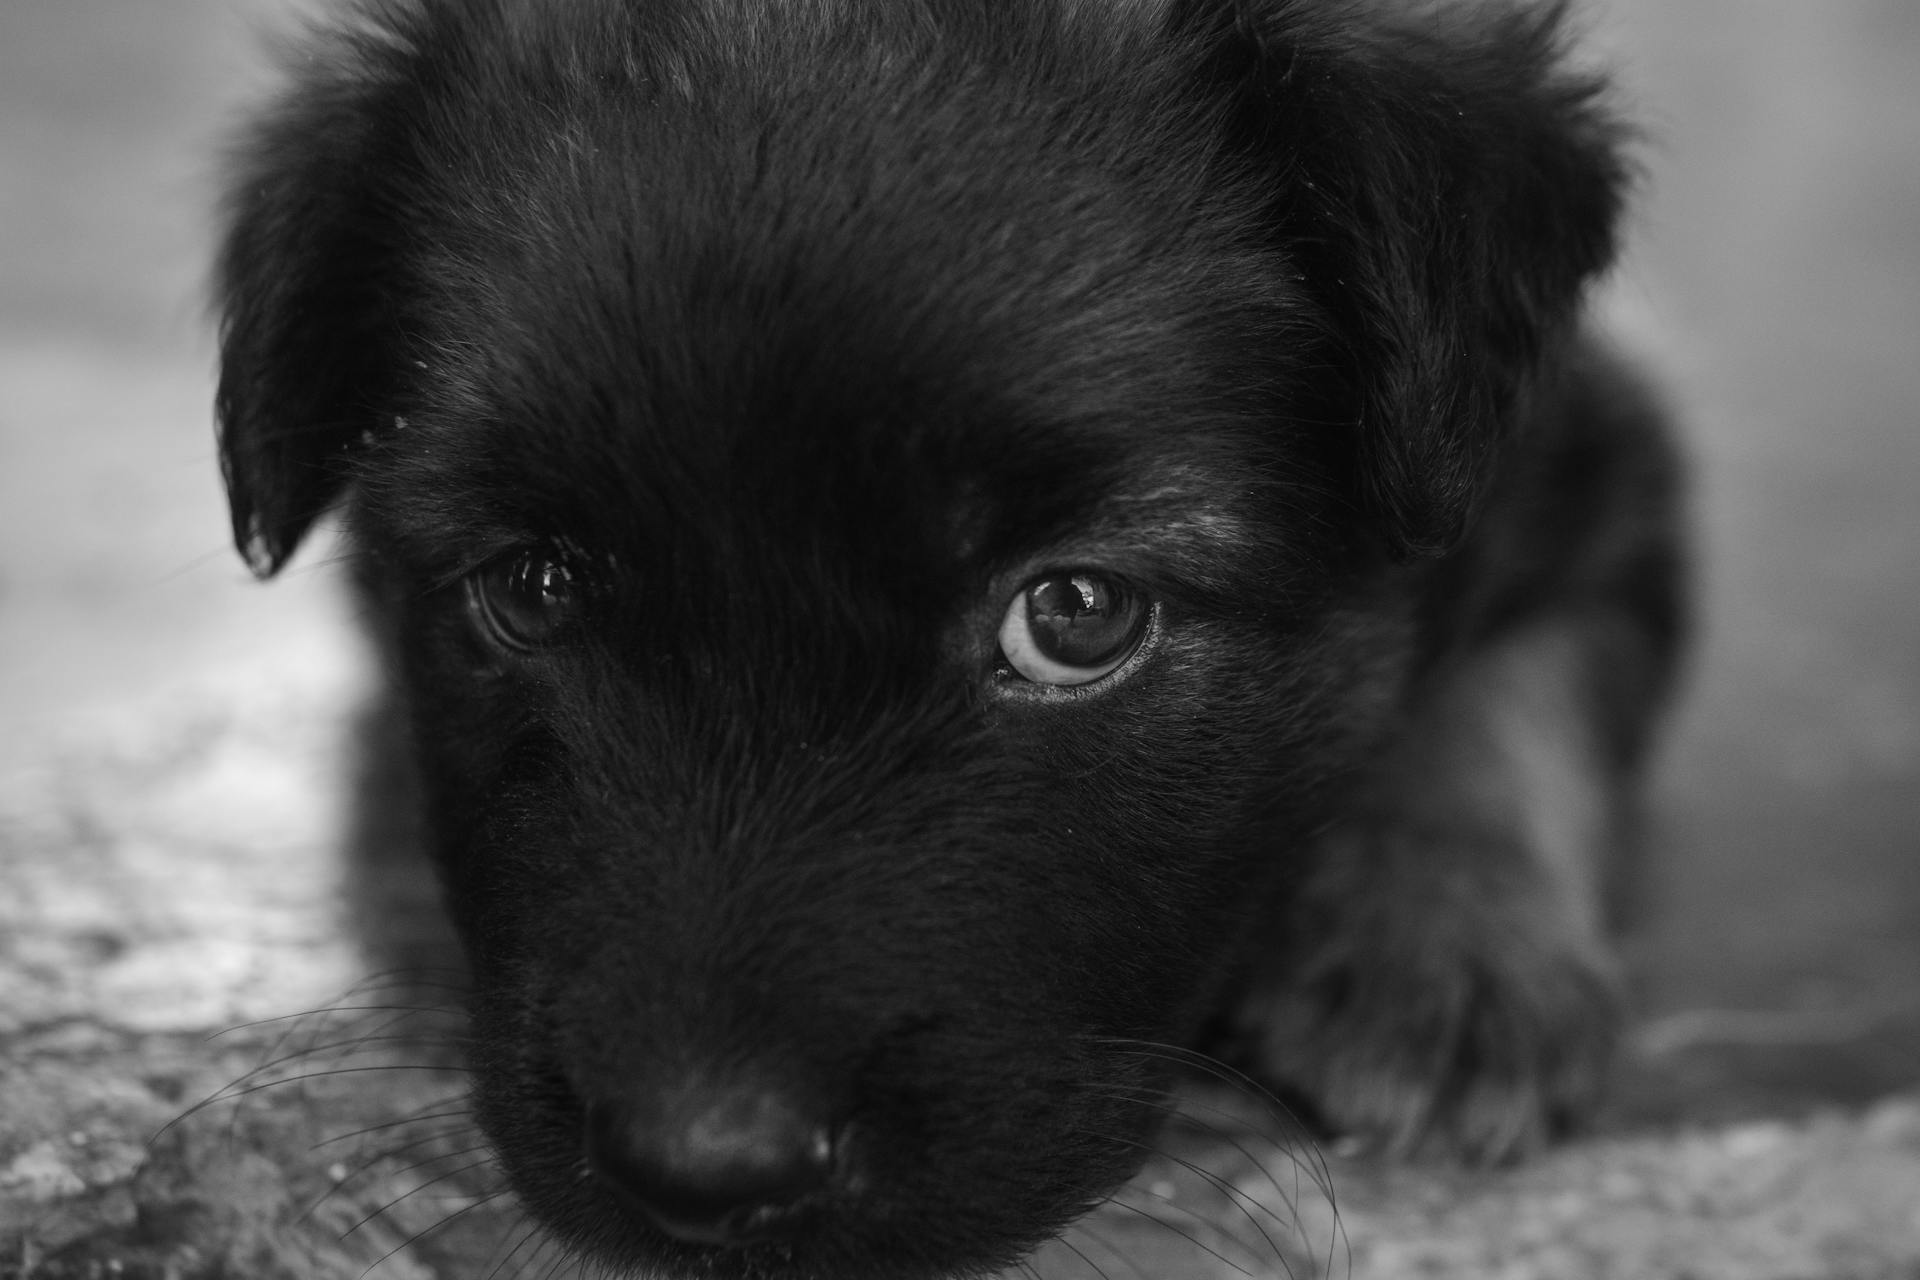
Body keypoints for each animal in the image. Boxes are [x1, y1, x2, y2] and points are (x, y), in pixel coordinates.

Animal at [214, 0, 1681, 1274]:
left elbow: (1508, 698)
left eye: (1076, 615)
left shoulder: (1603, 472)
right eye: (529, 588)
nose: (704, 1174)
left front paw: (1444, 945)